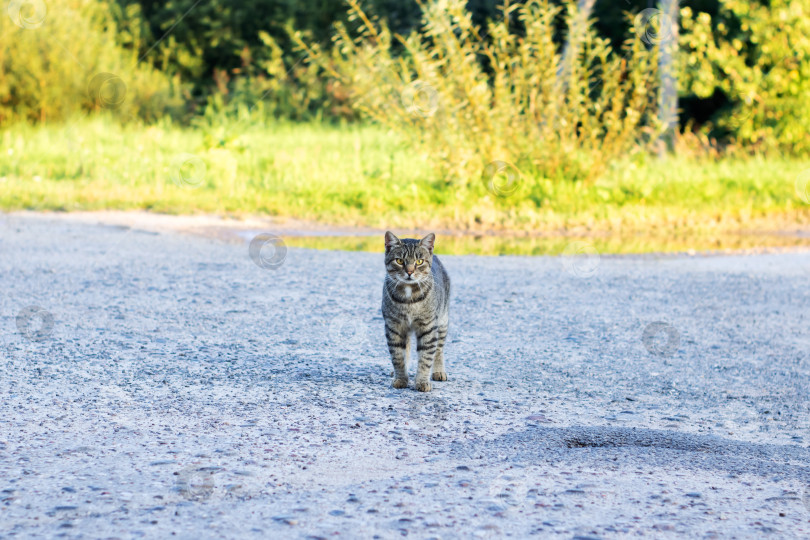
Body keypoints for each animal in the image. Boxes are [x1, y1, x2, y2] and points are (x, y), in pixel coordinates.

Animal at [382, 230, 452, 390]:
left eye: (419, 262)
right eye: (399, 261)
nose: (409, 272)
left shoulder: (428, 327)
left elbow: (426, 357)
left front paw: (422, 381)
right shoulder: (394, 326)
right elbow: (397, 356)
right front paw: (401, 378)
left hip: (442, 321)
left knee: (439, 350)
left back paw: (439, 371)